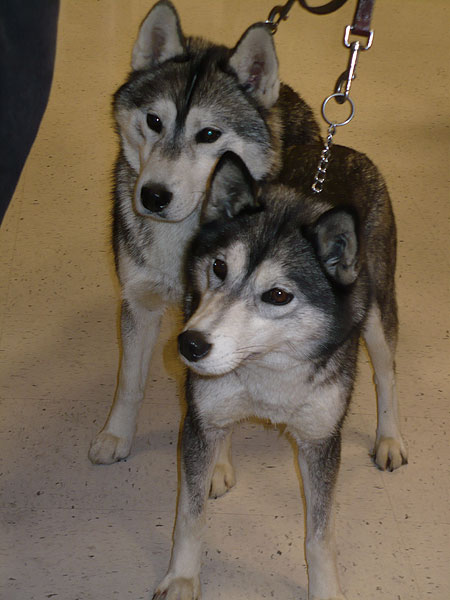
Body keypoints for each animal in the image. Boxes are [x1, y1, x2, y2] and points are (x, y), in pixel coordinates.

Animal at [88, 0, 320, 464]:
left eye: (209, 134)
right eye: (153, 121)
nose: (153, 196)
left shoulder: (220, 320)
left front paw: (220, 468)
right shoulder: (139, 300)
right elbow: (129, 382)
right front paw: (117, 434)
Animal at [154, 149, 408, 600]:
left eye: (277, 295)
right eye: (219, 267)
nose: (190, 344)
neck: (267, 367)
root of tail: (346, 151)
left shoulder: (320, 439)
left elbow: (320, 536)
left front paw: (325, 590)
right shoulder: (202, 413)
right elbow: (190, 516)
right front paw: (182, 577)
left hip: (377, 313)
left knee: (386, 374)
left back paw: (389, 438)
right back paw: (219, 463)